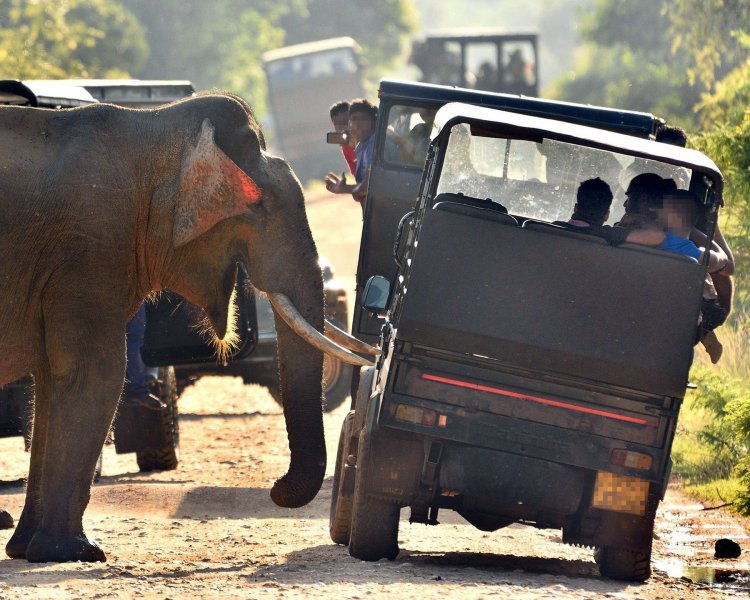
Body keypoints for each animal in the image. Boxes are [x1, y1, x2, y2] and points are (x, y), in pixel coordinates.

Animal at [0, 91, 376, 560]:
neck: (154, 128)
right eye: (261, 206)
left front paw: (28, 549)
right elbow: (96, 375)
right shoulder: (89, 253)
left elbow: (51, 382)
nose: (276, 489)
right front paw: (75, 551)